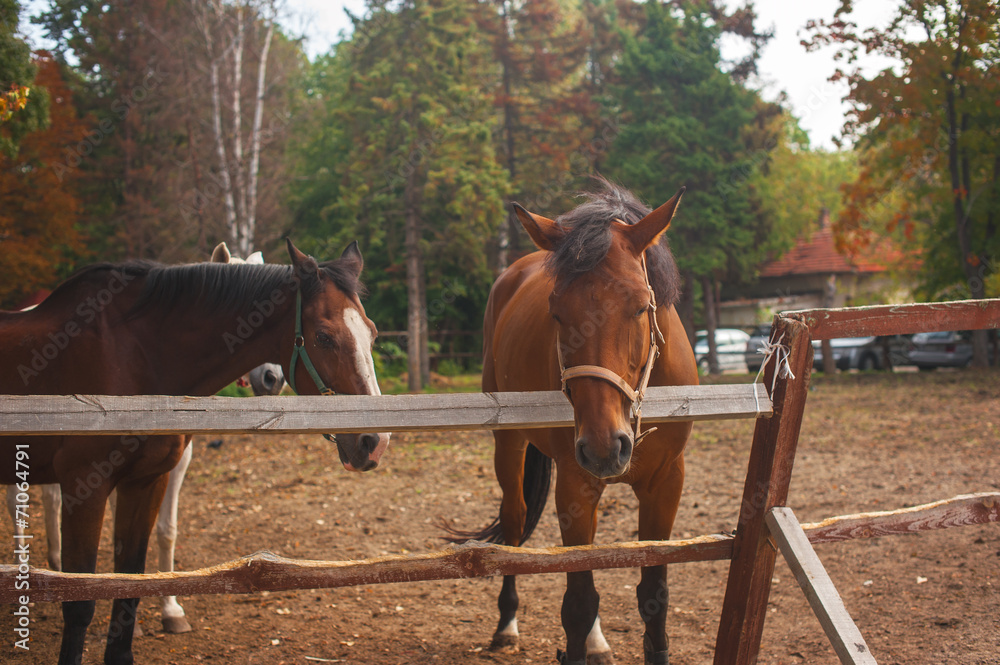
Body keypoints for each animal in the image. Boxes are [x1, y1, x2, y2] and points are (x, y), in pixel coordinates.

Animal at [0, 240, 390, 664]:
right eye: (323, 337)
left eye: (372, 335)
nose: (376, 441)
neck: (133, 356)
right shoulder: (85, 485)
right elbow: (80, 601)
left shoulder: (145, 482)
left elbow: (131, 579)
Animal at [452, 180, 696, 664]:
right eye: (557, 312)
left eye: (641, 307)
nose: (604, 446)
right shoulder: (575, 484)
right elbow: (579, 602)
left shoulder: (666, 483)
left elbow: (653, 594)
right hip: (510, 446)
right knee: (514, 523)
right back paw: (506, 626)